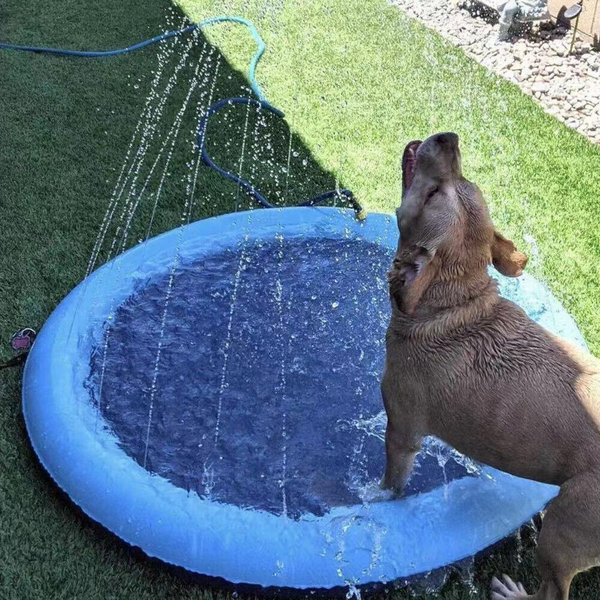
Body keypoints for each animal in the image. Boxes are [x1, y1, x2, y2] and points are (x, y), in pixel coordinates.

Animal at [382, 132, 600, 600]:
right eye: (466, 179)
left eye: (432, 194)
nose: (448, 138)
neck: (452, 301)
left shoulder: (401, 429)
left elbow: (391, 485)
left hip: (564, 529)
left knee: (554, 590)